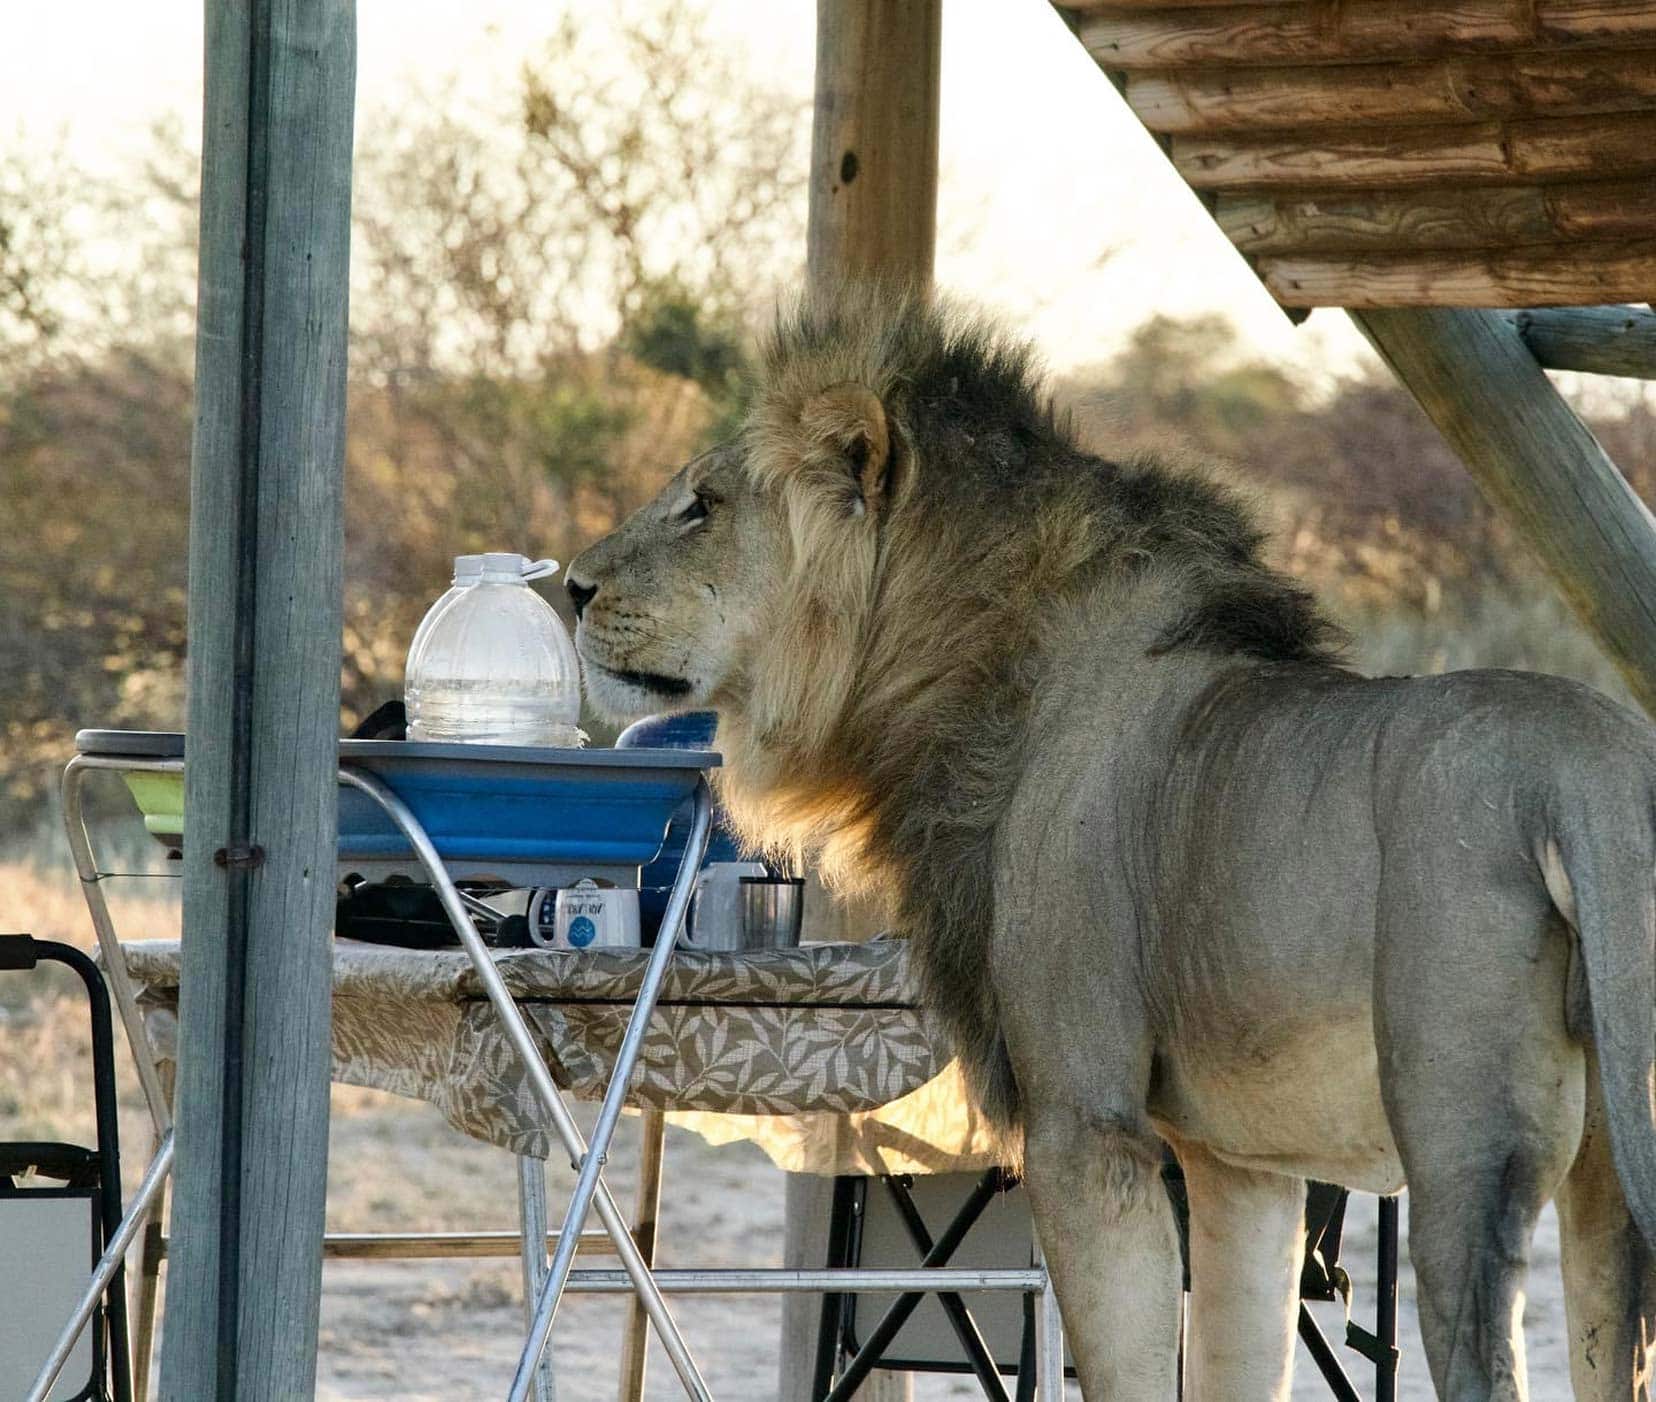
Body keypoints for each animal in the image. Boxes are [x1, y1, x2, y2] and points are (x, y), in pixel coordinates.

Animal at [566, 288, 1656, 1402]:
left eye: (703, 505)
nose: (570, 586)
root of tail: (1591, 768)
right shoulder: (1241, 1164)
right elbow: (1235, 1364)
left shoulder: (1087, 1122)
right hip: (1608, 1181)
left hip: (1460, 1150)